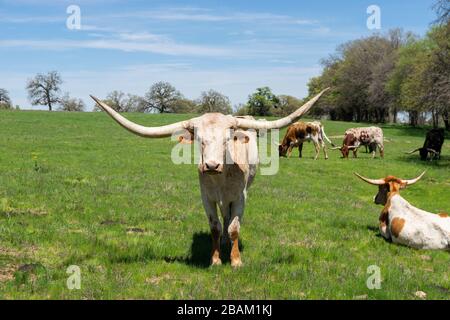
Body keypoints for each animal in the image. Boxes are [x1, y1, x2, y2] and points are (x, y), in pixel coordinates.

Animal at [89, 88, 328, 268]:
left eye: (227, 139)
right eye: (199, 140)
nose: (211, 165)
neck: (220, 179)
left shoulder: (241, 197)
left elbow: (234, 228)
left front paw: (235, 260)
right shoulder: (207, 198)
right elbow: (215, 227)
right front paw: (215, 259)